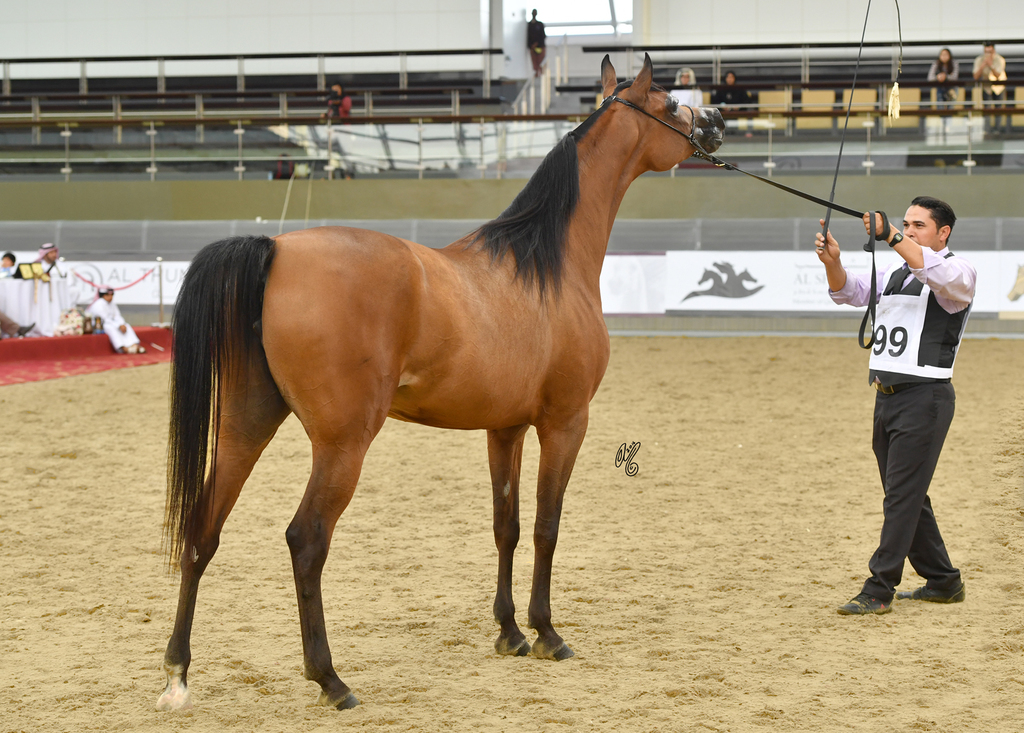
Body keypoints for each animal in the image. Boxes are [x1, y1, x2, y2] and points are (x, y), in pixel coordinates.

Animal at [156, 53, 724, 712]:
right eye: (668, 102)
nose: (714, 122)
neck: (548, 266)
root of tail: (275, 249)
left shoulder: (505, 428)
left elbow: (507, 526)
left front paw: (509, 631)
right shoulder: (565, 423)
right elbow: (547, 526)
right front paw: (547, 632)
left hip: (245, 427)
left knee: (203, 530)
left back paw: (177, 674)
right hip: (342, 445)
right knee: (307, 540)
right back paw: (330, 679)